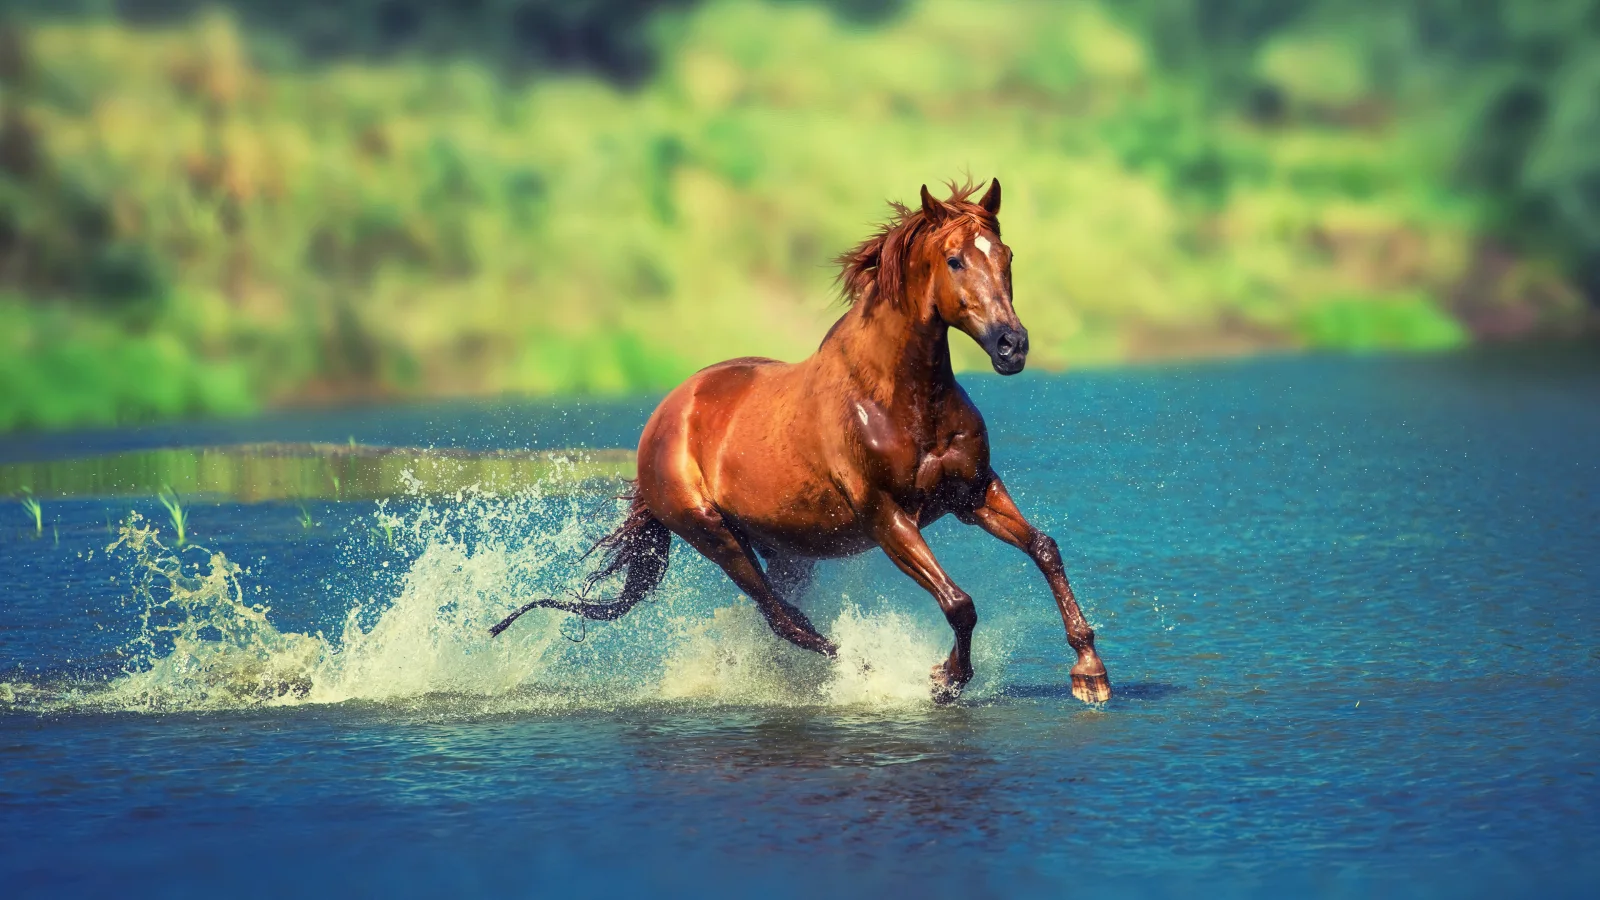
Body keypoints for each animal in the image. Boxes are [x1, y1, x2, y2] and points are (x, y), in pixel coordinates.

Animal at [491, 179, 1111, 703]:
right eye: (955, 258)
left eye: (1006, 257)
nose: (1012, 345)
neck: (899, 398)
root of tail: (662, 420)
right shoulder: (888, 516)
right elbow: (959, 603)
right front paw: (944, 679)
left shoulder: (972, 492)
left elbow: (1045, 548)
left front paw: (1090, 674)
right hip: (714, 535)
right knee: (785, 619)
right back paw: (868, 672)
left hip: (786, 547)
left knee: (784, 616)